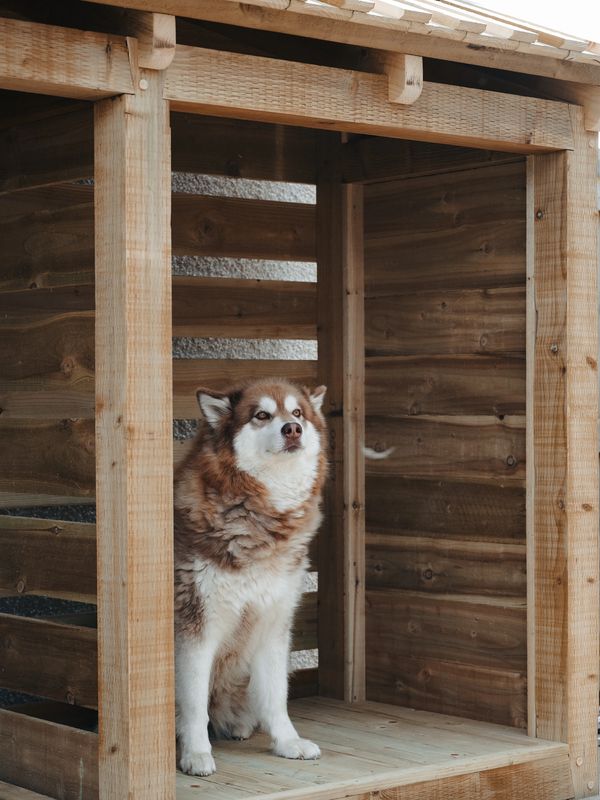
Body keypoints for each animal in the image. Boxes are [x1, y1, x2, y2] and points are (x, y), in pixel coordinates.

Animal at [173, 380, 328, 776]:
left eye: (297, 412)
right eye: (261, 415)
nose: (293, 429)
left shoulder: (273, 622)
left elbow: (276, 696)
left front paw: (288, 742)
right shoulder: (196, 627)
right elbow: (193, 703)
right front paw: (196, 753)